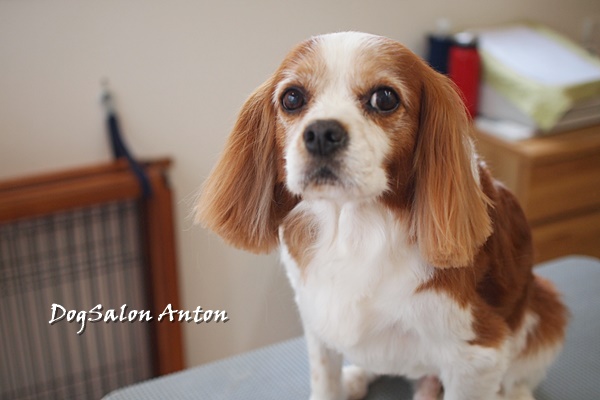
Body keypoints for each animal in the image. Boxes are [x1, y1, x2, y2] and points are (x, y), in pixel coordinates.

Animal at [196, 32, 567, 400]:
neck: (353, 226)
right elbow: (324, 381)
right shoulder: (317, 322)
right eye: (292, 98)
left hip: (547, 308)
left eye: (385, 98)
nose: (321, 133)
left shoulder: (477, 355)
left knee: (518, 379)